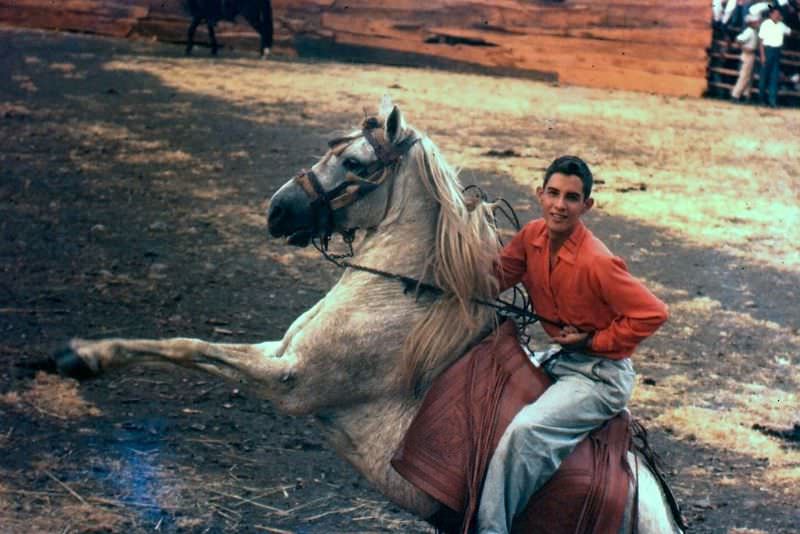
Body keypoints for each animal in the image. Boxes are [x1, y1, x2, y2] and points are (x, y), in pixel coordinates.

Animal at [54, 98, 680, 532]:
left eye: (354, 161)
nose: (278, 209)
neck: (400, 296)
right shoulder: (280, 353)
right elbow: (184, 344)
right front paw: (87, 352)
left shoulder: (290, 380)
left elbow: (191, 349)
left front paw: (81, 356)